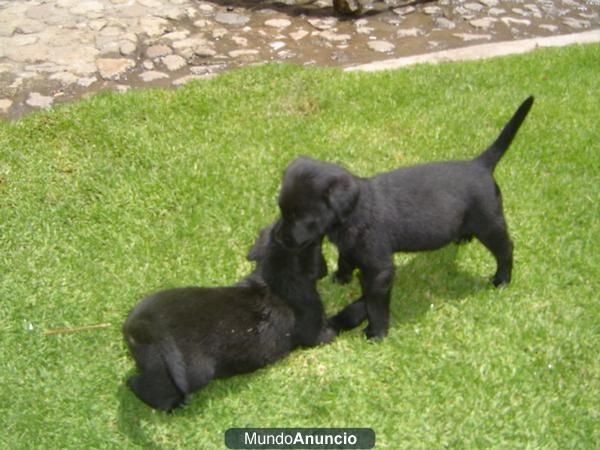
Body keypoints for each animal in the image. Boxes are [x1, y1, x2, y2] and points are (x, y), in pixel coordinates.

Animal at [276, 96, 536, 340]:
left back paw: (502, 279)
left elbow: (375, 304)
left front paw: (376, 332)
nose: (278, 239)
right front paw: (341, 278)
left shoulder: (379, 268)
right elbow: (345, 259)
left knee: (506, 249)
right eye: (281, 210)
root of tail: (480, 165)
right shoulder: (349, 247)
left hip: (490, 224)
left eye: (301, 217)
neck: (353, 212)